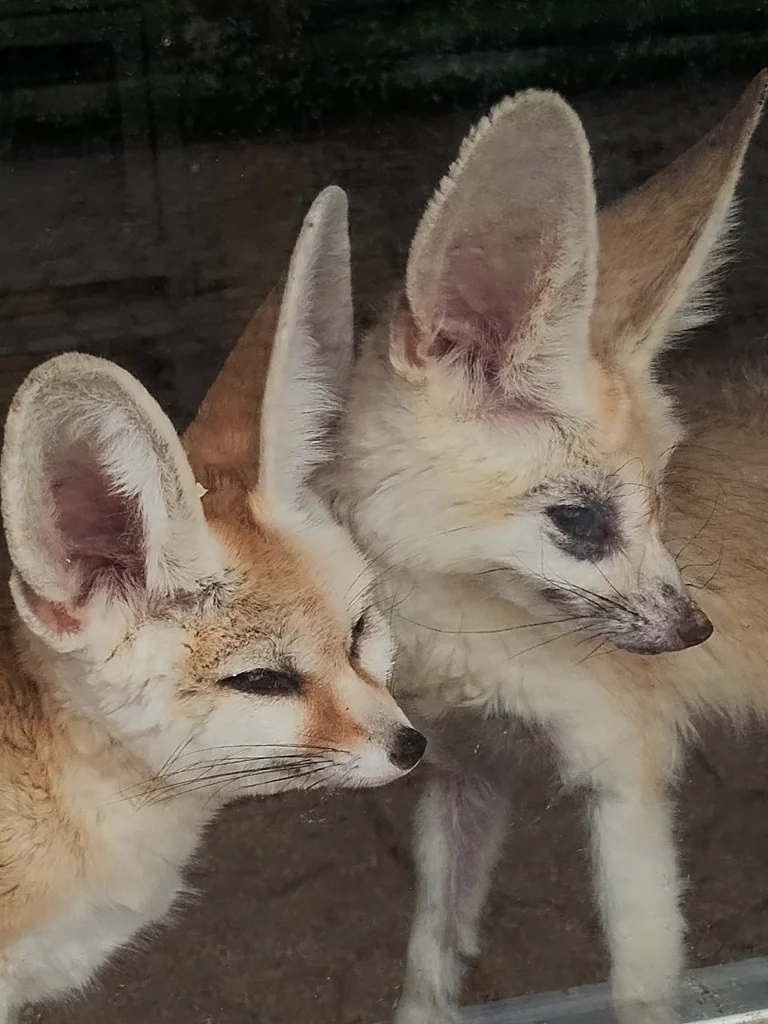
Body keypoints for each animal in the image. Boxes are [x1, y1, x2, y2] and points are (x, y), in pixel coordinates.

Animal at [314, 72, 768, 1024]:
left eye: (661, 500)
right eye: (581, 522)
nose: (695, 631)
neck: (453, 645)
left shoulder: (625, 771)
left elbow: (640, 987)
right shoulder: (465, 771)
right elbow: (429, 962)